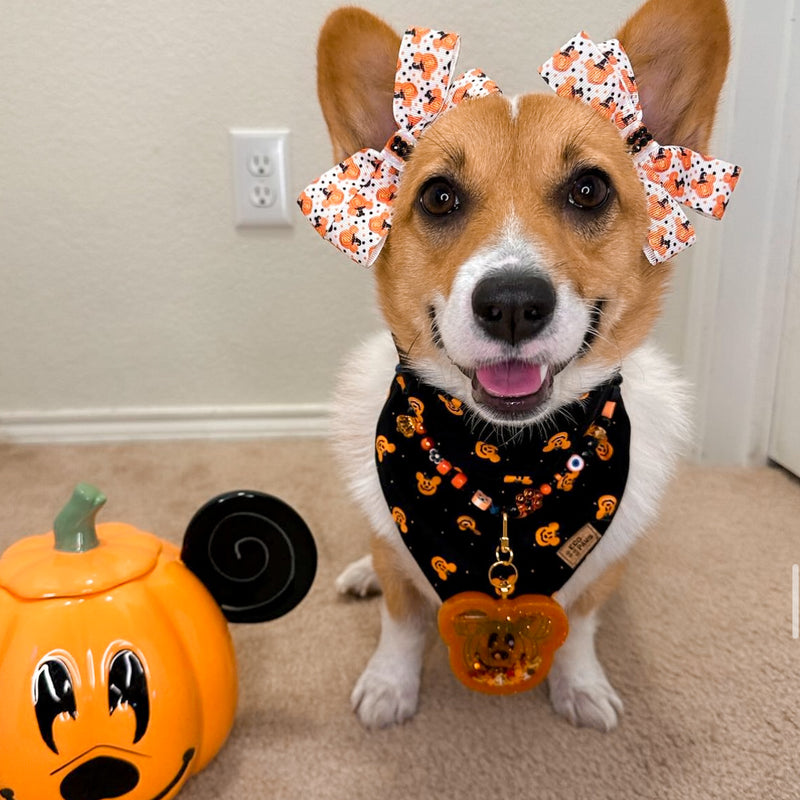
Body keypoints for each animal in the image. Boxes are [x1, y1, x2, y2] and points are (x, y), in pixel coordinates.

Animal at [310, 0, 732, 728]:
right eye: (439, 197)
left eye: (589, 189)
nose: (510, 305)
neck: (504, 469)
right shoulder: (401, 565)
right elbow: (401, 619)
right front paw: (390, 687)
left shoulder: (598, 573)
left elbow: (582, 628)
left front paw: (582, 687)